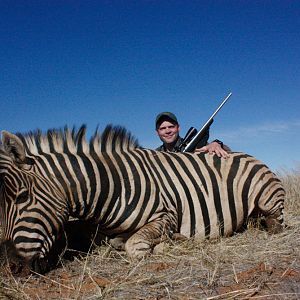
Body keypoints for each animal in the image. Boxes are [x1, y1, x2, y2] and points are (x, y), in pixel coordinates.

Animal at [0, 124, 284, 274]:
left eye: (22, 197)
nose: (12, 267)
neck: (112, 186)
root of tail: (249, 155)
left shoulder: (166, 215)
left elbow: (134, 246)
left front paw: (168, 244)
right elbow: (117, 242)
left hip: (268, 198)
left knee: (275, 223)